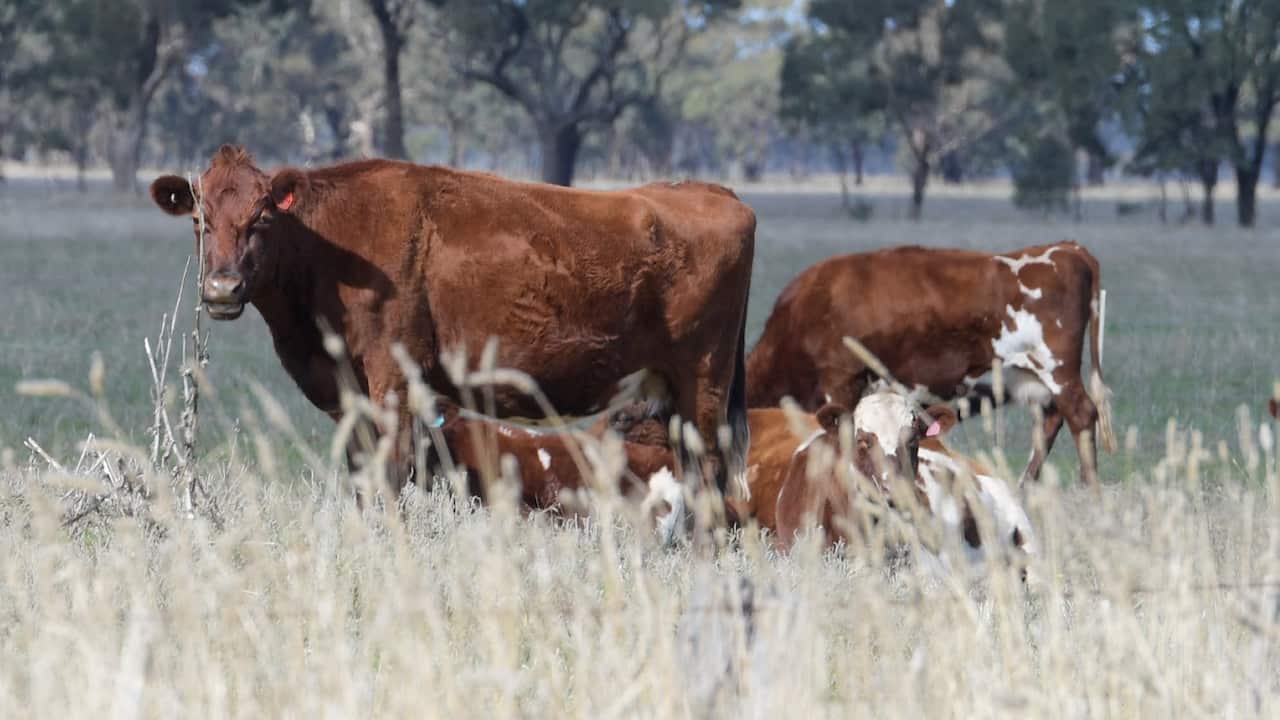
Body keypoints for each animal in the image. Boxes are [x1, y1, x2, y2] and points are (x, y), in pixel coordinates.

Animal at [148, 146, 755, 517]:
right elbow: (364, 477)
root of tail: (714, 193)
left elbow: (392, 475)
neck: (330, 248)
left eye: (263, 218)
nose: (222, 288)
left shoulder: (393, 380)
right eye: (200, 220)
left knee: (709, 473)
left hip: (703, 383)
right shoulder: (350, 396)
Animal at [747, 241, 1116, 485]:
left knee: (1082, 415)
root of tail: (1068, 249)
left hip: (1057, 371)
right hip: (1035, 381)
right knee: (1051, 422)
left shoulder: (839, 383)